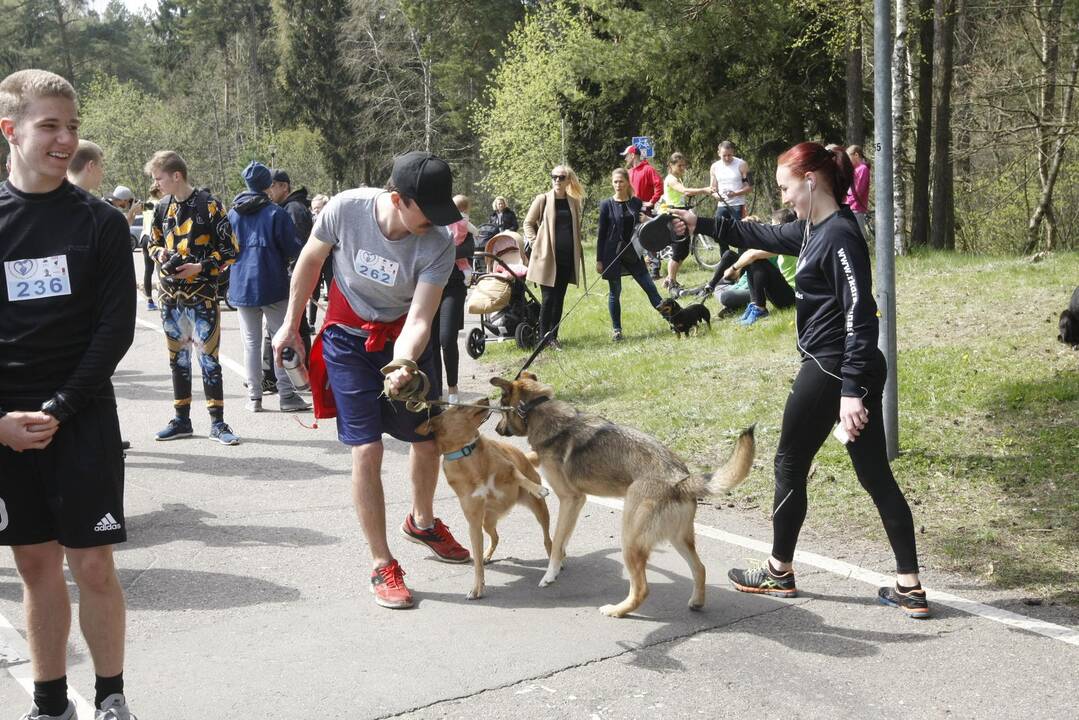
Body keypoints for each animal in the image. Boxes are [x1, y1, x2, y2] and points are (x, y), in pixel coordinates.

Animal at [414, 403, 552, 600]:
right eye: (459, 407)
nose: (486, 399)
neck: (468, 454)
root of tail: (525, 457)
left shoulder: (508, 468)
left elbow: (518, 475)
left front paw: (537, 488)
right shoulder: (474, 524)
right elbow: (477, 562)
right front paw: (477, 587)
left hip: (539, 509)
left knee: (548, 539)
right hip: (487, 522)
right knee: (495, 537)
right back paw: (487, 554)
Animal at [492, 375, 755, 617]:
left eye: (502, 408)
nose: (495, 429)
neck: (536, 408)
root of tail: (680, 479)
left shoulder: (570, 499)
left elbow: (556, 541)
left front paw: (550, 574)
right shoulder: (572, 501)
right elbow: (562, 536)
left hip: (630, 540)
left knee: (642, 589)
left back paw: (617, 610)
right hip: (678, 538)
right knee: (700, 569)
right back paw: (697, 602)